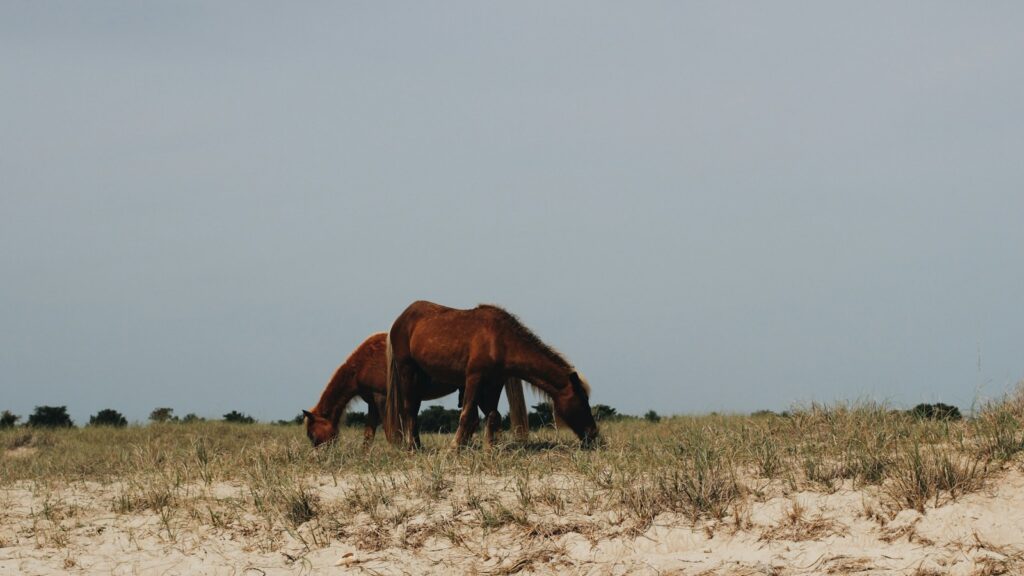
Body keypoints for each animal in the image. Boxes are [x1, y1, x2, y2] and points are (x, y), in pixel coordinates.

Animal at [304, 332, 529, 447]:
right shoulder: (374, 403)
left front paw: (397, 449)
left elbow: (390, 429)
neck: (363, 363)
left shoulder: (382, 398)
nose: (319, 456)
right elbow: (369, 433)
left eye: (312, 434)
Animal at [384, 301, 599, 449]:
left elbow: (492, 415)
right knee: (409, 410)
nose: (594, 434)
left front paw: (489, 448)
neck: (501, 341)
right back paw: (412, 447)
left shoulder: (495, 383)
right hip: (407, 371)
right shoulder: (474, 377)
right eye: (582, 401)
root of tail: (400, 319)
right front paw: (454, 447)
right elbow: (467, 414)